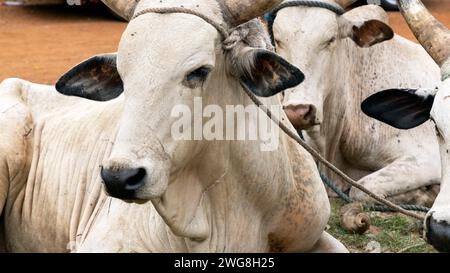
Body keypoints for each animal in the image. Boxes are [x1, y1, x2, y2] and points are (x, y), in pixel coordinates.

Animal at [268, 0, 442, 202]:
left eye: (330, 39)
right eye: (278, 40)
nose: (297, 112)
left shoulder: (427, 158)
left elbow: (361, 189)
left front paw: (425, 194)